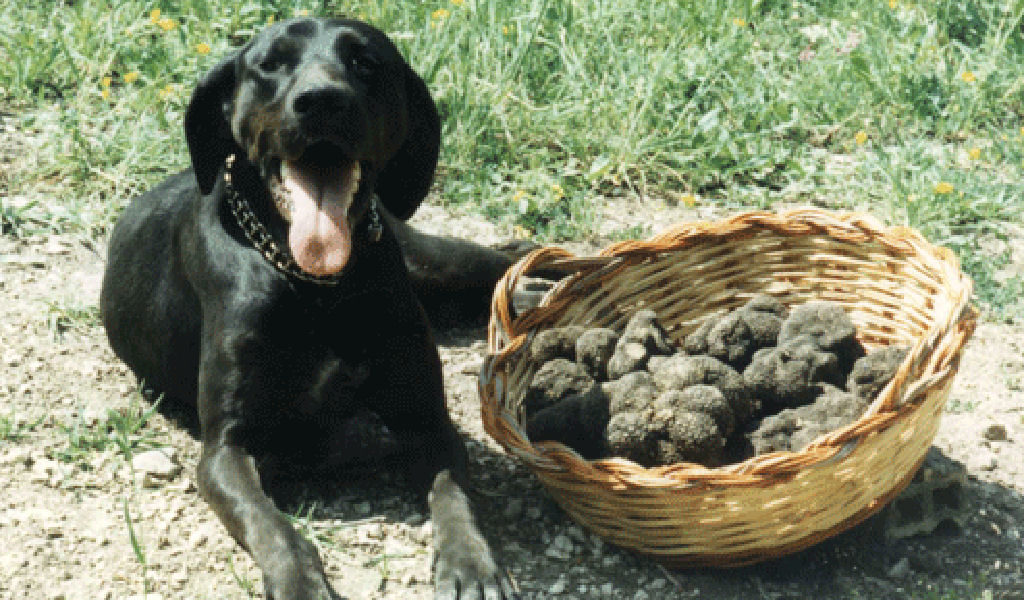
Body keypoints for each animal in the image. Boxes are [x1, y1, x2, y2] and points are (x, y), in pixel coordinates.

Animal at [101, 16, 520, 593]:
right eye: (271, 64)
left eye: (365, 62)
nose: (322, 100)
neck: (318, 285)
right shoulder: (226, 449)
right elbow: (271, 525)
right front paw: (299, 581)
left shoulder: (427, 420)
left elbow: (454, 495)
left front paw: (471, 562)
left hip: (434, 259)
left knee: (506, 263)